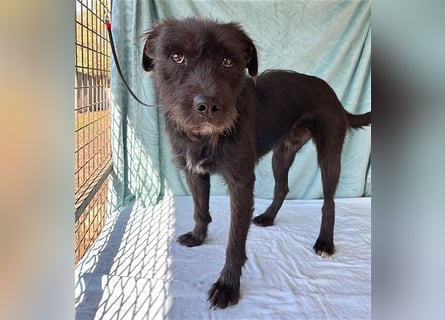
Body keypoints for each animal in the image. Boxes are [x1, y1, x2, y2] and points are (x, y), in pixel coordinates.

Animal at [142, 16, 372, 308]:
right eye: (176, 57)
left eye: (228, 61)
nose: (207, 107)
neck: (206, 137)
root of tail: (335, 96)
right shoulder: (194, 172)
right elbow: (200, 209)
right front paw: (198, 236)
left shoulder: (241, 182)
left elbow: (235, 240)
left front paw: (228, 286)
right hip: (281, 154)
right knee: (282, 187)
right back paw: (268, 217)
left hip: (329, 152)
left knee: (329, 201)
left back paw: (324, 242)